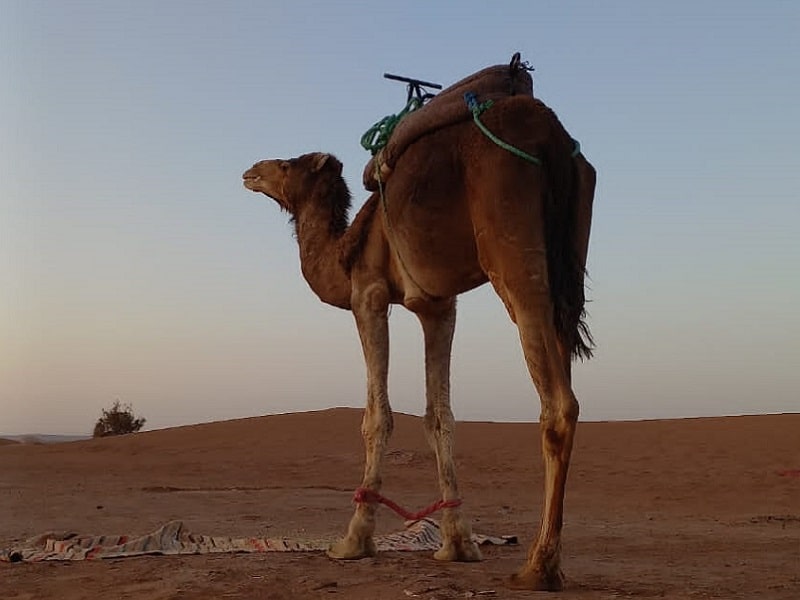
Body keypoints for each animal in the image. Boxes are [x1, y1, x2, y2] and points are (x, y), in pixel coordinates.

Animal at [242, 90, 592, 592]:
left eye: (288, 164)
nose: (251, 170)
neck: (343, 252)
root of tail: (551, 136)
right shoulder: (437, 305)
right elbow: (439, 416)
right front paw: (457, 544)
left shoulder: (367, 293)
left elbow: (377, 417)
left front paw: (353, 540)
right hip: (571, 266)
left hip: (514, 254)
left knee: (559, 403)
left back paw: (539, 565)